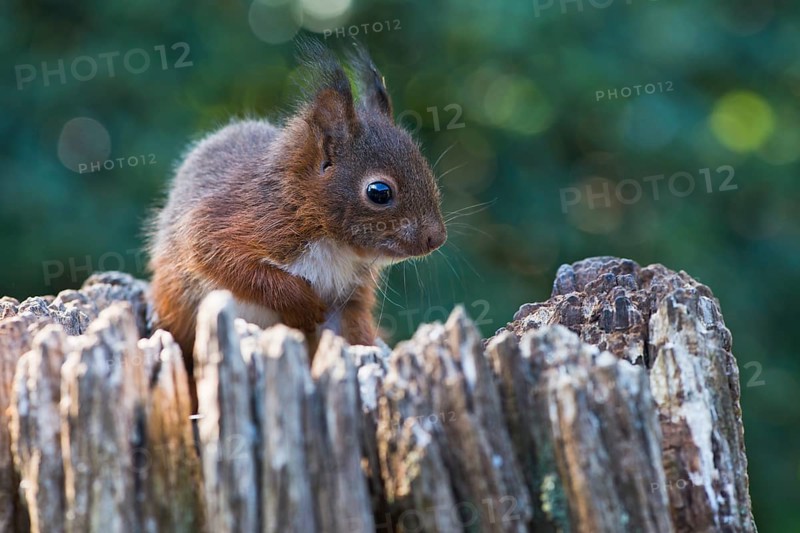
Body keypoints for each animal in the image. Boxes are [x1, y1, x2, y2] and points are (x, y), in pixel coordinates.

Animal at [147, 41, 446, 380]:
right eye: (379, 192)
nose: (436, 238)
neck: (335, 245)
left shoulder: (349, 296)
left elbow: (351, 329)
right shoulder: (234, 219)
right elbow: (228, 262)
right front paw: (303, 304)